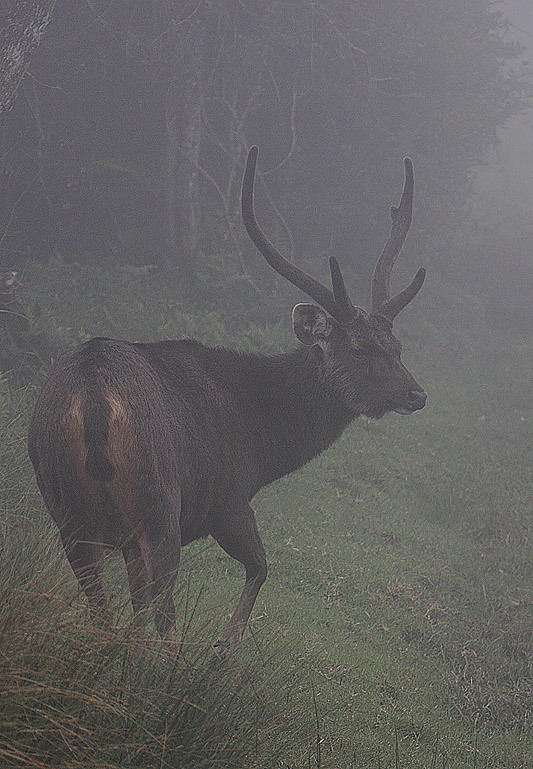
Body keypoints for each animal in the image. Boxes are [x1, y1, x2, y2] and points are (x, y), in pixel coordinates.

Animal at [28, 147, 426, 654]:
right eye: (359, 349)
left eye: (397, 346)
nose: (417, 393)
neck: (262, 444)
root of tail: (94, 400)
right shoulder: (229, 497)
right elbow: (260, 565)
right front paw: (224, 646)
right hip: (160, 503)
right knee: (161, 611)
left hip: (66, 508)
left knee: (107, 610)